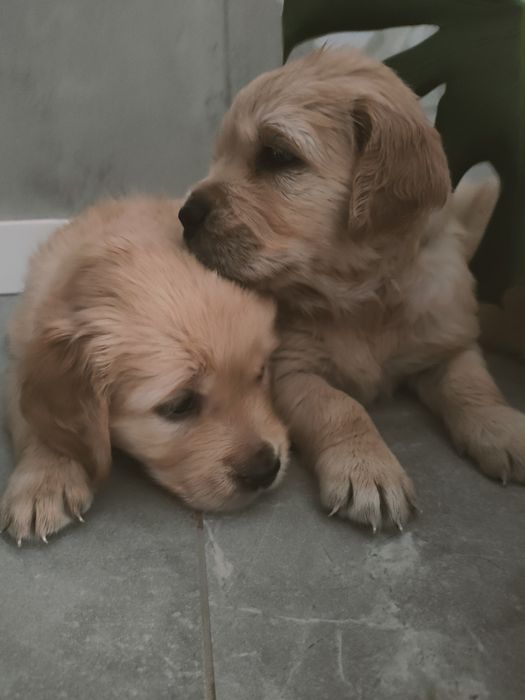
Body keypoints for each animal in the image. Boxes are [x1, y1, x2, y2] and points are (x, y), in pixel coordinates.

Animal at [0, 194, 288, 544]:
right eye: (180, 405)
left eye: (261, 372)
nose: (265, 469)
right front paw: (44, 481)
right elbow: (37, 421)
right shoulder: (20, 356)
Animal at [180, 49, 524, 532]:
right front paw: (368, 469)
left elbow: (473, 384)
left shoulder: (449, 340)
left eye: (277, 155)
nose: (185, 213)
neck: (363, 297)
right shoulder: (289, 369)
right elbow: (339, 405)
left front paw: (502, 428)